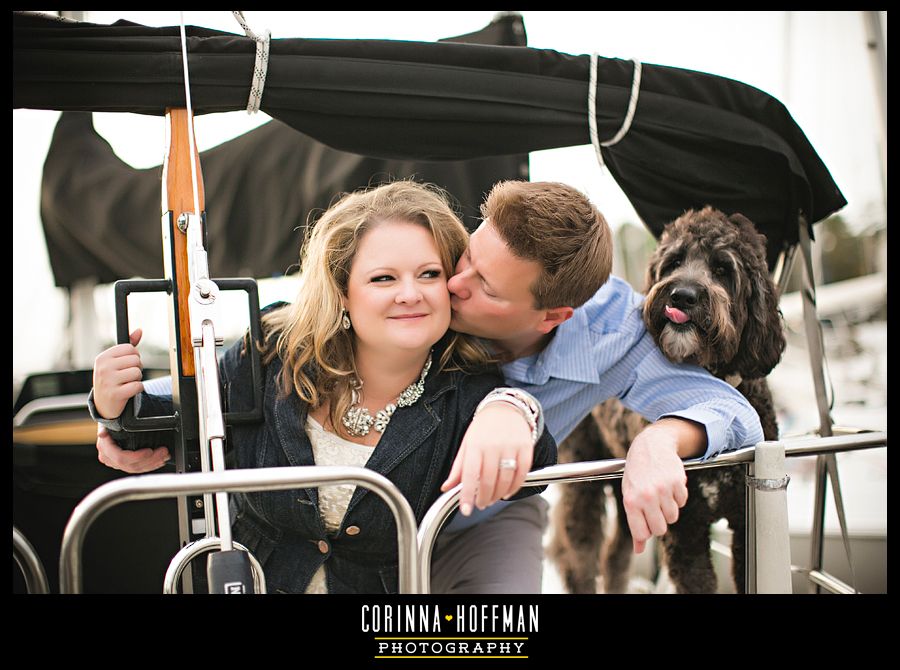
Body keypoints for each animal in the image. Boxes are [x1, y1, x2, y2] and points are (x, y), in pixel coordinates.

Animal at [544, 207, 784, 596]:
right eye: (674, 262)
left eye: (723, 269)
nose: (682, 296)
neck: (710, 381)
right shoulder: (683, 531)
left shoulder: (746, 524)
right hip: (585, 480)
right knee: (580, 556)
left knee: (615, 555)